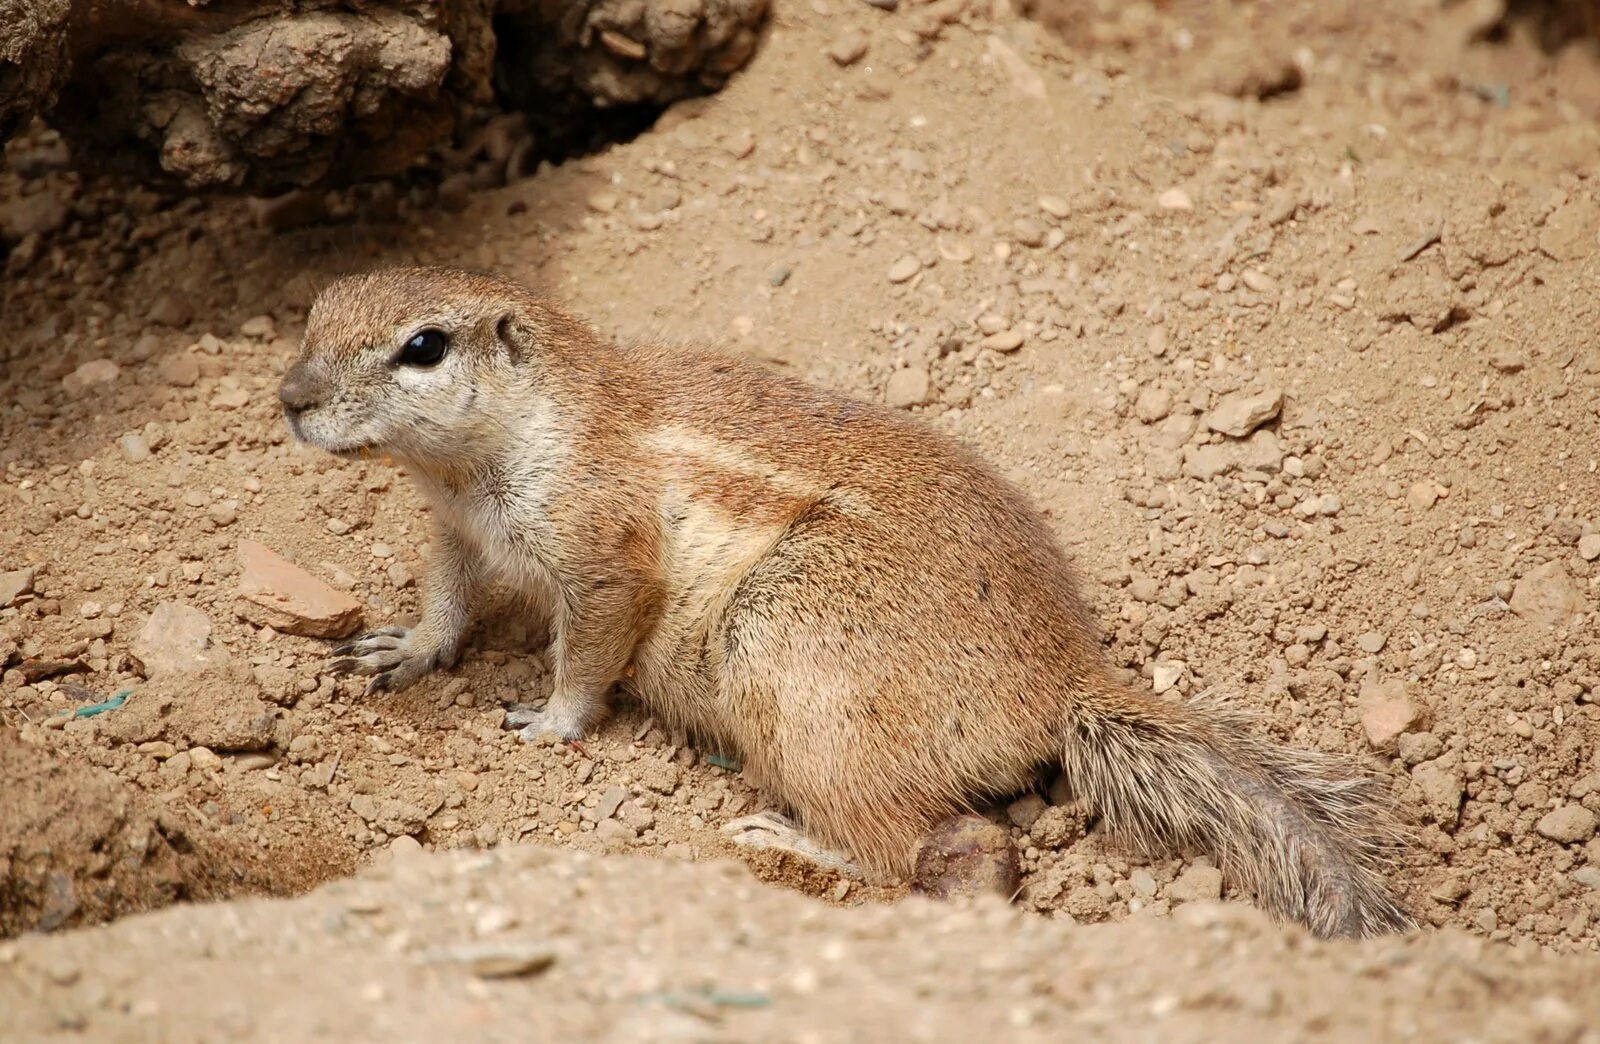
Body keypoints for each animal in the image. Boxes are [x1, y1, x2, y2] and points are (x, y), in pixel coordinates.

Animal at [281, 267, 1408, 935]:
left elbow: (587, 650)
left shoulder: (600, 554)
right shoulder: (454, 529)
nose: (289, 400)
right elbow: (445, 600)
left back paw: (787, 840)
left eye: (423, 346)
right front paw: (402, 649)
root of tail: (1063, 678)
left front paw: (549, 722)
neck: (487, 455)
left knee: (923, 848)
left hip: (784, 641)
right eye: (312, 312)